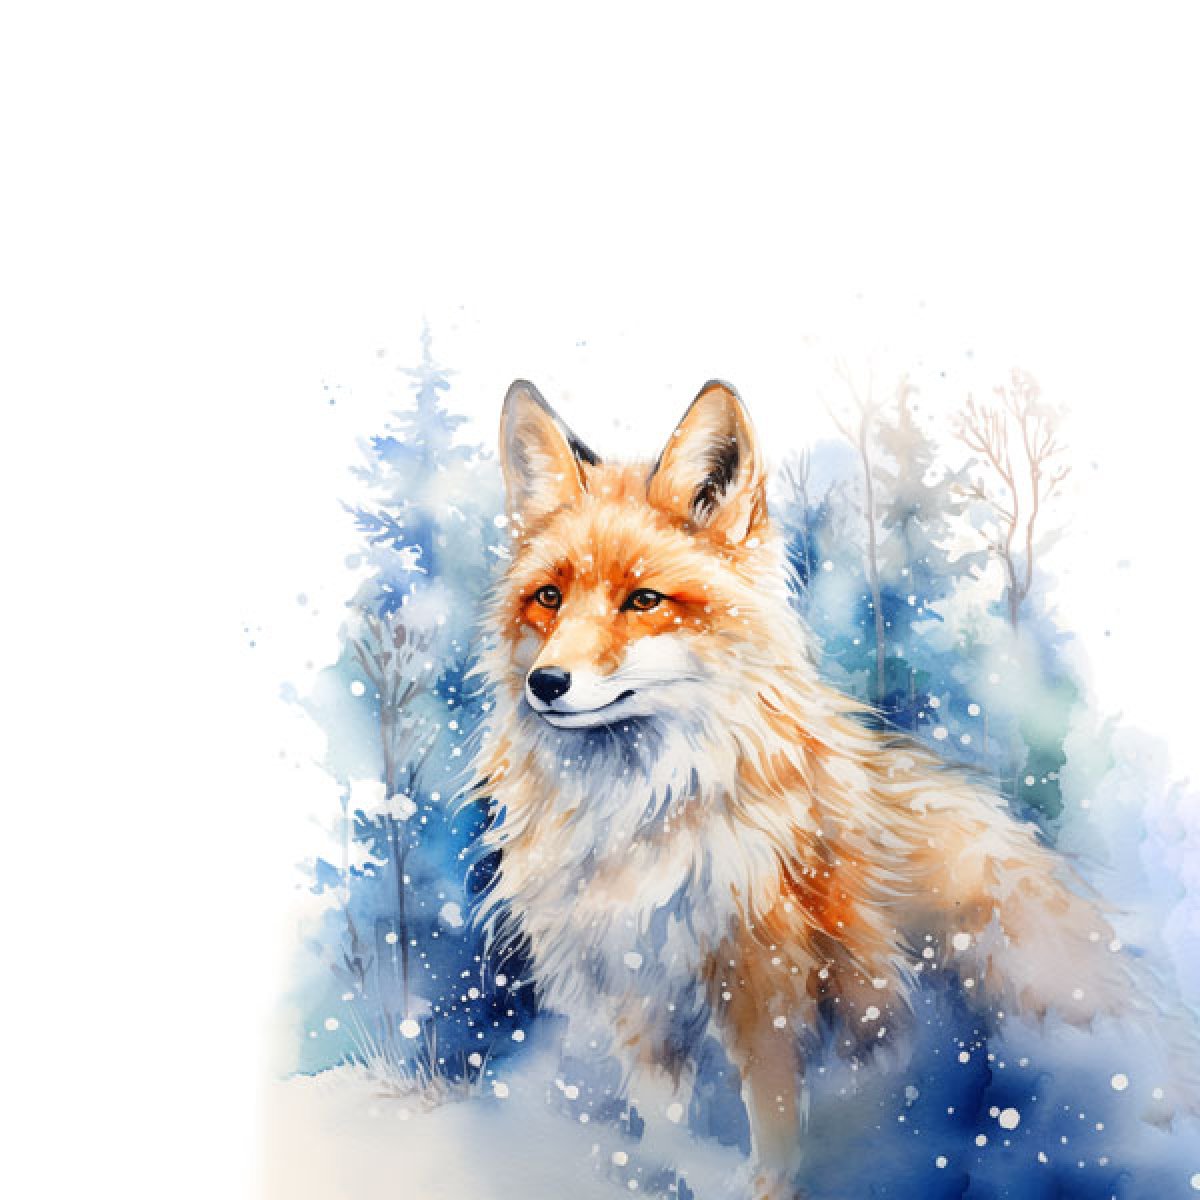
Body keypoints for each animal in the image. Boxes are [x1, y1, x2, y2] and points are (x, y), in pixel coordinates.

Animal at [472, 379, 1195, 1199]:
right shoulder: (640, 992)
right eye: (549, 597)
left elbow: (777, 1135)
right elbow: (669, 1128)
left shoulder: (770, 986)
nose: (546, 683)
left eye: (644, 600)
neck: (644, 816)